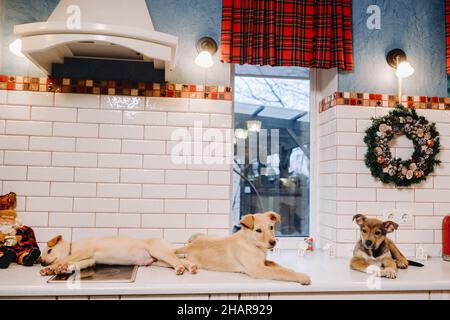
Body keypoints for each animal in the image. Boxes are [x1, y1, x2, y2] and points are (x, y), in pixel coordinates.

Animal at [39, 234, 198, 276]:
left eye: (49, 251)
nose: (41, 262)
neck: (73, 247)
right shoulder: (90, 260)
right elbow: (75, 263)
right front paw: (58, 269)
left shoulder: (85, 251)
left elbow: (67, 259)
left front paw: (52, 267)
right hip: (158, 260)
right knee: (179, 261)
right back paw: (191, 267)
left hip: (158, 252)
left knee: (177, 262)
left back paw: (180, 269)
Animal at [174, 211, 312, 284]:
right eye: (258, 230)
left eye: (271, 227)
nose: (273, 242)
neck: (252, 244)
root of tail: (190, 245)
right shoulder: (257, 269)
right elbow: (280, 272)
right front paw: (301, 276)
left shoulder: (263, 262)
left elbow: (275, 264)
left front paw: (289, 269)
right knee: (181, 259)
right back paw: (188, 266)